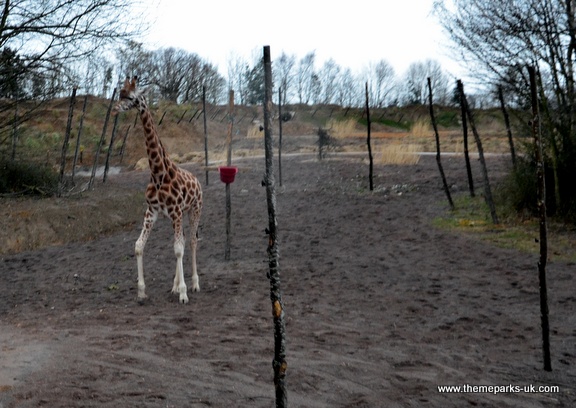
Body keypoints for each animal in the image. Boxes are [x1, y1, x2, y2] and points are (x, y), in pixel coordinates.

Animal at [112, 78, 202, 304]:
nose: (115, 109)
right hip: (178, 216)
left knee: (192, 242)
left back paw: (195, 284)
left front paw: (184, 293)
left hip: (195, 209)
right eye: (120, 93)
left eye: (131, 97)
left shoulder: (176, 212)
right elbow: (138, 246)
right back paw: (175, 286)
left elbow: (178, 249)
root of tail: (198, 181)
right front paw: (142, 291)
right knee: (184, 240)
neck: (159, 174)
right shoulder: (152, 212)